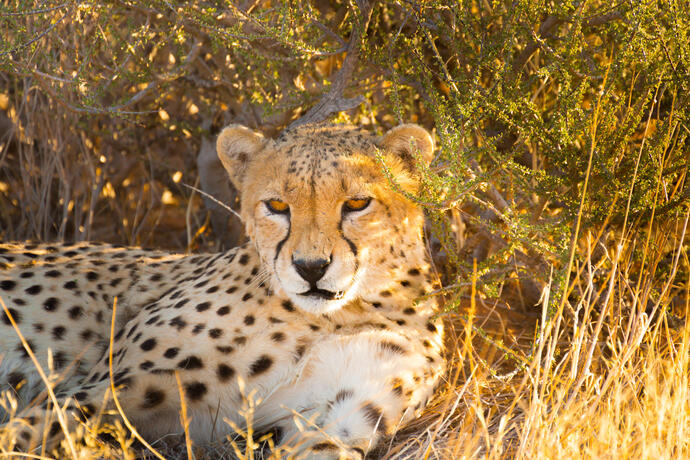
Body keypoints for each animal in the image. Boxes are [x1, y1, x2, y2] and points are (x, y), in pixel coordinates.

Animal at [0, 123, 445, 459]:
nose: (311, 268)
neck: (345, 312)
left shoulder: (341, 418)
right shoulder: (106, 385)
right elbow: (29, 429)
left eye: (356, 203)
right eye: (276, 206)